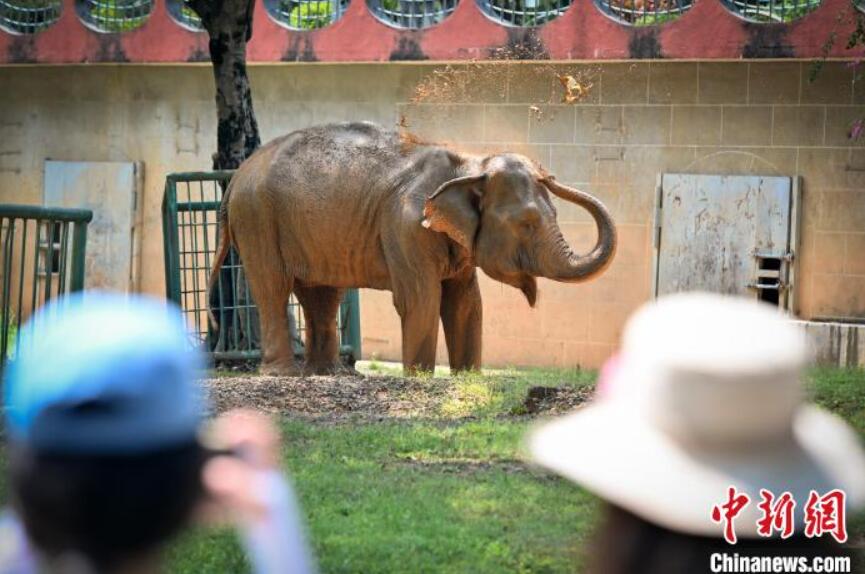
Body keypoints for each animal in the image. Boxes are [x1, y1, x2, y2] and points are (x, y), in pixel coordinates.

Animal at [208, 123, 616, 376]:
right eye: (527, 222)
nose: (550, 174)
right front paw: (418, 377)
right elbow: (420, 299)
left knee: (322, 294)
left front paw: (467, 377)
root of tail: (237, 176)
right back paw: (283, 374)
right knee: (273, 289)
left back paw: (326, 373)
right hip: (258, 218)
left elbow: (465, 302)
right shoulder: (405, 227)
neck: (469, 163)